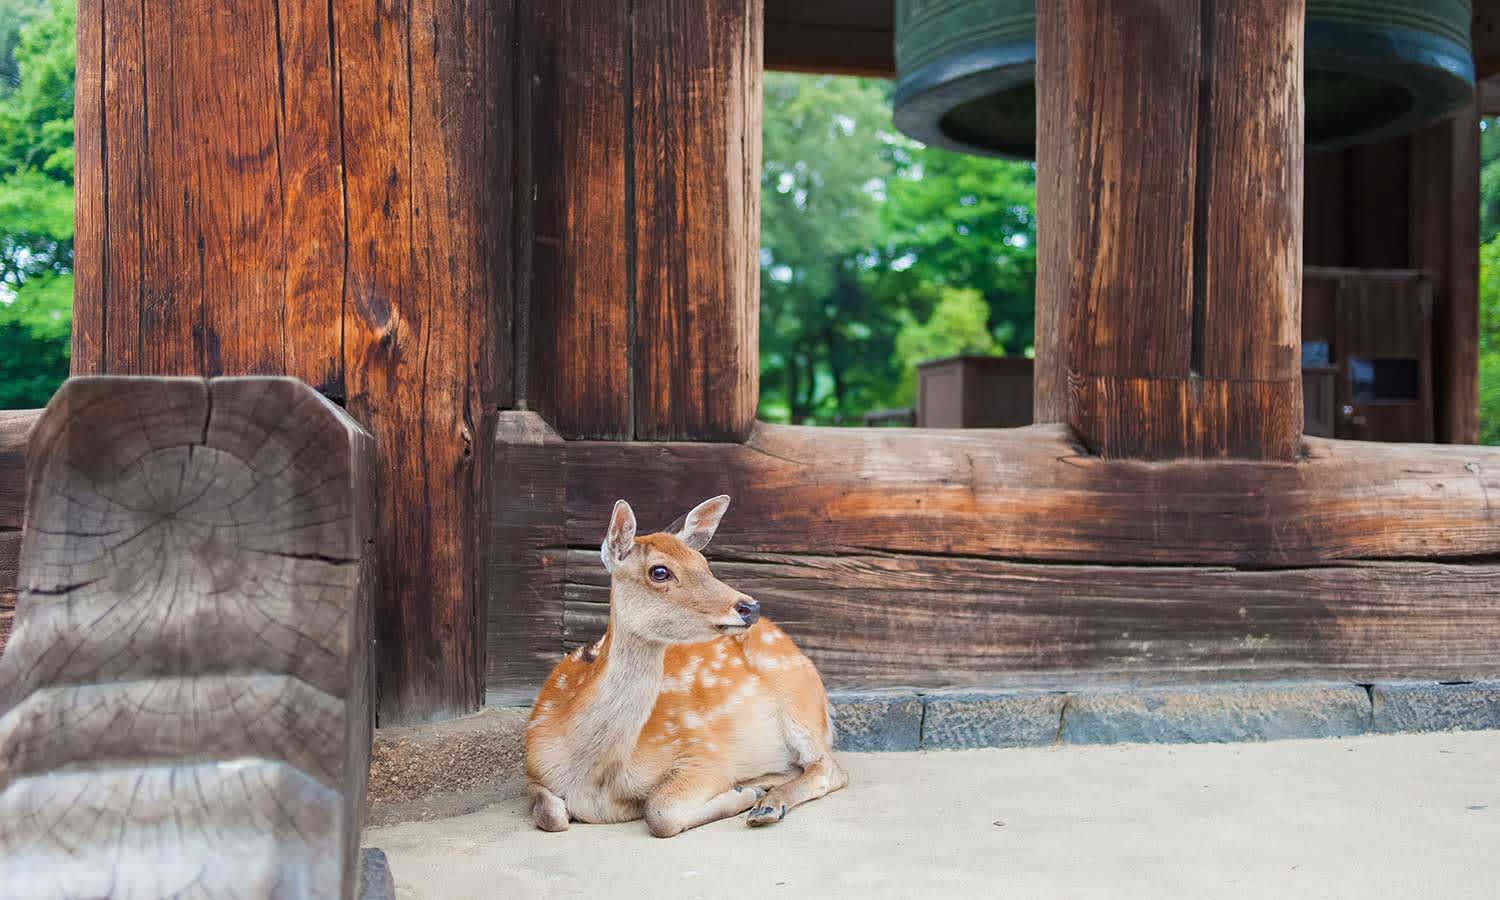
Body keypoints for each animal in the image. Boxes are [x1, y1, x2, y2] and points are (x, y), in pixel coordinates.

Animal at [528, 492, 852, 834]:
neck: (595, 777)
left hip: (800, 701)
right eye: (659, 571)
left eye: (705, 564)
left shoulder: (703, 752)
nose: (750, 607)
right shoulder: (533, 767)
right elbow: (549, 814)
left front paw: (742, 793)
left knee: (829, 768)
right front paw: (745, 789)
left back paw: (766, 804)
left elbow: (660, 811)